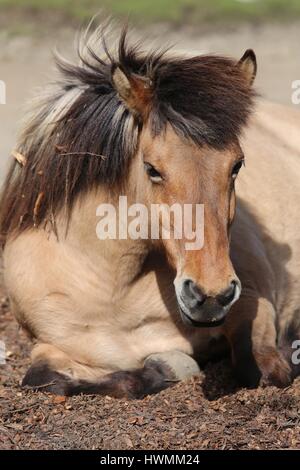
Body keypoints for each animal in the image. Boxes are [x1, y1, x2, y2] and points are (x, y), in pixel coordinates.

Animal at [0, 23, 300, 396]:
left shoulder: (252, 305)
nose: (211, 296)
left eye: (237, 165)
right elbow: (45, 379)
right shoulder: (49, 345)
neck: (116, 293)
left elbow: (264, 369)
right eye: (151, 169)